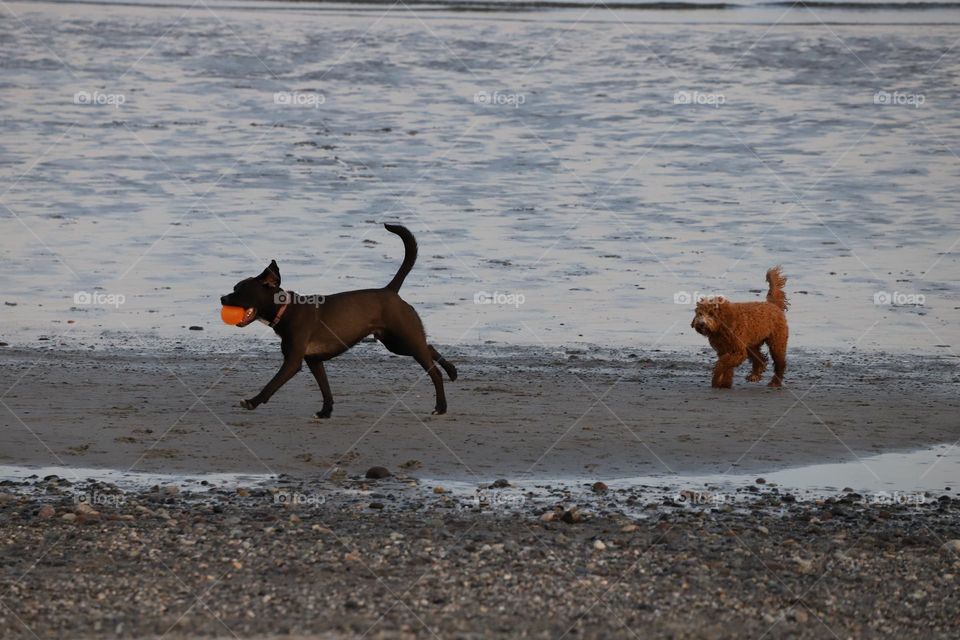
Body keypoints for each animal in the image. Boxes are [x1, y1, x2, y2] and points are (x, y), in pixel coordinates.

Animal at [221, 224, 458, 416]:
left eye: (240, 290)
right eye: (234, 288)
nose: (222, 298)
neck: (286, 309)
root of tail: (390, 291)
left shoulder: (293, 362)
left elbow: (272, 384)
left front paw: (252, 401)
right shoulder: (314, 361)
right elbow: (325, 389)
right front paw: (326, 412)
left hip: (404, 339)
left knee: (433, 370)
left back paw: (441, 406)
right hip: (396, 343)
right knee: (429, 347)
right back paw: (452, 371)